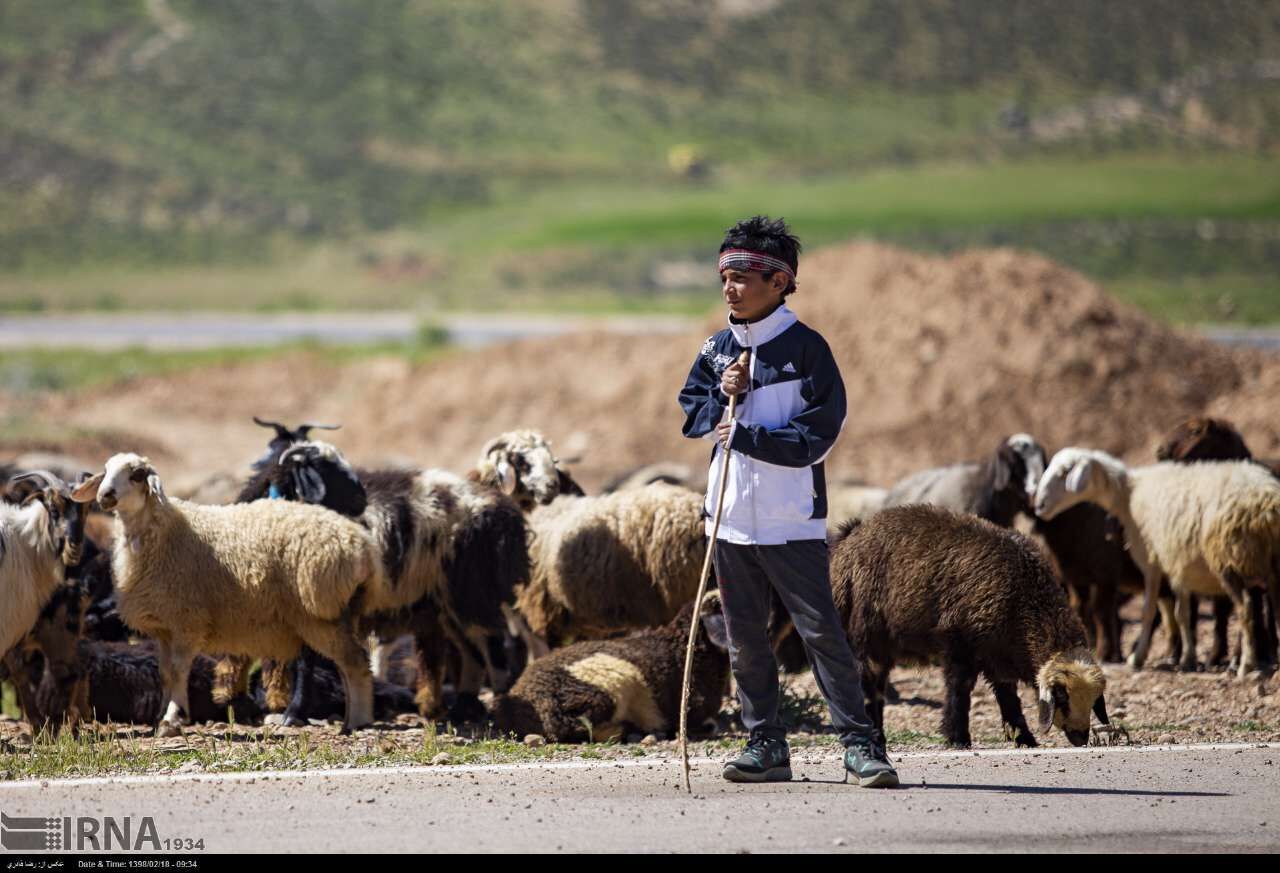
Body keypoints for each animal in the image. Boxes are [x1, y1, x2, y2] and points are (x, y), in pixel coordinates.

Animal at [70, 453, 386, 732]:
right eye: (105, 470)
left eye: (136, 475)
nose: (105, 495)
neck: (162, 532)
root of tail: (363, 545)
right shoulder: (165, 627)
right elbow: (165, 673)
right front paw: (164, 714)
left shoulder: (187, 620)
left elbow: (178, 670)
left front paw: (173, 717)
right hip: (339, 611)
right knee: (348, 665)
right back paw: (351, 717)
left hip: (321, 611)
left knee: (355, 663)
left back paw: (357, 721)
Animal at [829, 506, 1111, 742]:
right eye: (1062, 697)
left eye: (1094, 700)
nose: (1080, 738)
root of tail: (849, 541)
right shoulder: (959, 643)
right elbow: (960, 688)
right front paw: (957, 738)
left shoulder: (999, 656)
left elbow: (1008, 696)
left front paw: (1024, 739)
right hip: (869, 635)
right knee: (869, 682)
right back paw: (875, 733)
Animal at [1029, 445, 1280, 675]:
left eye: (1065, 472)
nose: (1039, 506)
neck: (1128, 493)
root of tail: (1266, 506)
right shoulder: (1177, 561)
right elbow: (1182, 614)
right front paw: (1187, 659)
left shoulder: (1152, 561)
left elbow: (1148, 611)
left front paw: (1137, 658)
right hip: (1269, 563)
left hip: (1228, 557)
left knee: (1246, 609)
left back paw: (1245, 664)